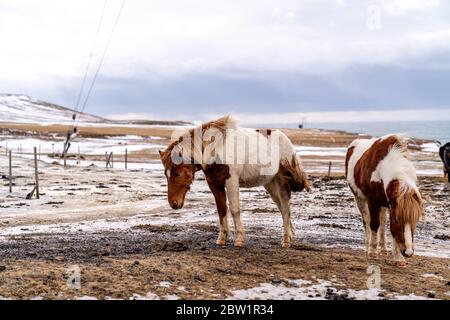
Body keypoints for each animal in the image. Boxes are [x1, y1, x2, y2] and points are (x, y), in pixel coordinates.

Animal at [158, 115, 310, 248]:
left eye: (177, 173)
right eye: (166, 174)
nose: (174, 204)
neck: (216, 148)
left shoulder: (231, 181)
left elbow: (234, 209)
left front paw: (239, 239)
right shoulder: (214, 183)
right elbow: (221, 209)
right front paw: (222, 238)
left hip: (282, 182)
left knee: (285, 208)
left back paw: (286, 240)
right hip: (270, 184)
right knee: (281, 206)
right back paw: (290, 236)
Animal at [346, 134, 424, 264]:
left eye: (415, 220)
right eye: (398, 220)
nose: (408, 252)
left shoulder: (391, 205)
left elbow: (389, 228)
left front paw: (398, 257)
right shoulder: (373, 201)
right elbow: (374, 224)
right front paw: (372, 252)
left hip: (383, 204)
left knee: (382, 222)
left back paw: (383, 249)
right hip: (360, 198)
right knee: (367, 221)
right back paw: (367, 247)